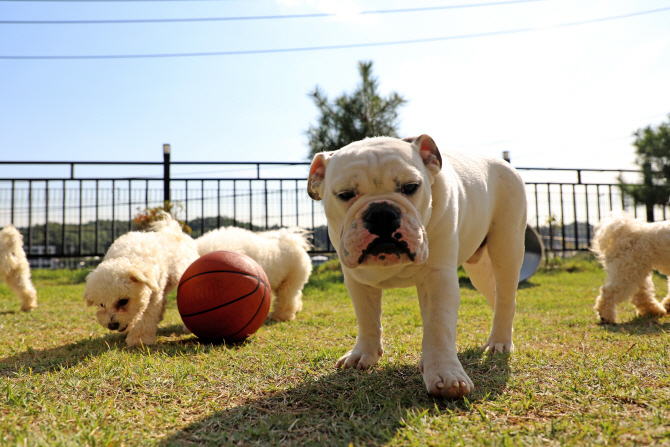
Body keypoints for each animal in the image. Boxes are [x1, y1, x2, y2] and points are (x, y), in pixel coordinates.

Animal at [84, 215, 200, 348]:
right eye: (102, 304)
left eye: (123, 301)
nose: (112, 325)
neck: (129, 257)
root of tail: (172, 230)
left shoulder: (153, 297)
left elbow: (145, 318)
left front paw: (139, 339)